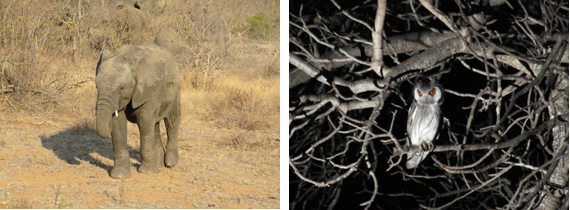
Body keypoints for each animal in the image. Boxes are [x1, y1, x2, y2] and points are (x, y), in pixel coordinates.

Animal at [95, 39, 180, 179]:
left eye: (122, 88)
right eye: (96, 86)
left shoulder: (149, 87)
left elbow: (144, 122)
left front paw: (147, 172)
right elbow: (118, 125)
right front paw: (119, 176)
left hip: (175, 88)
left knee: (172, 121)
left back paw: (170, 164)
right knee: (155, 126)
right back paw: (159, 164)